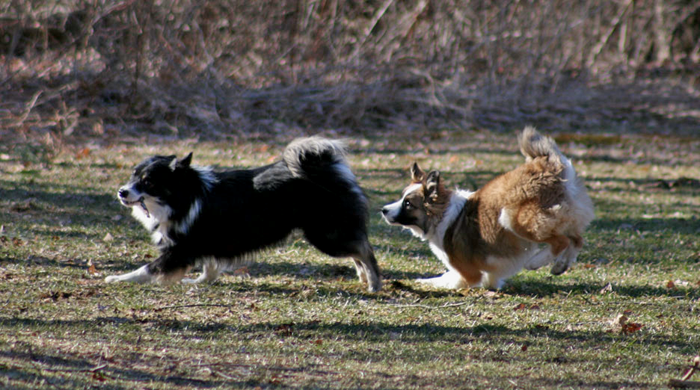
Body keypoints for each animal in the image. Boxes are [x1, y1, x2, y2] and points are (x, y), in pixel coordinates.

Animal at [104, 137, 380, 292]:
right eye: (132, 175)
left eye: (148, 181)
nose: (121, 192)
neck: (184, 196)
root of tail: (330, 170)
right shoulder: (204, 244)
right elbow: (210, 268)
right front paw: (199, 283)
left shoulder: (179, 251)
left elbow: (147, 269)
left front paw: (116, 278)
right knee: (358, 249)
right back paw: (363, 277)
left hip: (326, 235)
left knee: (364, 249)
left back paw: (374, 283)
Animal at [380, 128, 592, 290]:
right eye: (402, 197)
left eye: (408, 203)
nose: (383, 210)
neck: (441, 215)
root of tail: (547, 165)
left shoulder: (468, 274)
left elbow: (442, 279)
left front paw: (418, 282)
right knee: (577, 239)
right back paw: (560, 266)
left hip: (513, 218)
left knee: (561, 241)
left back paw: (536, 262)